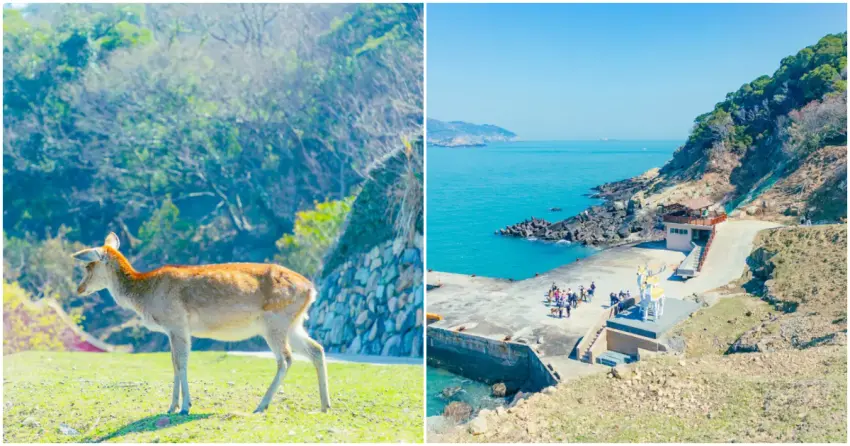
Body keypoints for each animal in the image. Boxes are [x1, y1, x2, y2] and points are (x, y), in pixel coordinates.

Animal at [72, 232, 331, 415]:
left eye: (88, 266)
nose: (80, 289)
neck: (146, 293)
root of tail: (312, 289)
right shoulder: (172, 330)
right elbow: (174, 363)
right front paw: (172, 407)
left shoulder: (177, 323)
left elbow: (182, 362)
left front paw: (185, 406)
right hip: (294, 324)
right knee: (316, 349)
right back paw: (325, 405)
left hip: (275, 322)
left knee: (286, 358)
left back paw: (261, 405)